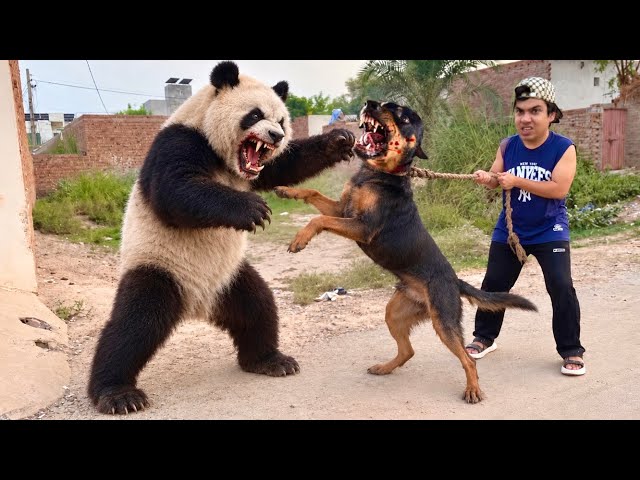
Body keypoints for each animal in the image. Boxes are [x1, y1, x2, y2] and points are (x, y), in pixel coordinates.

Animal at [88, 61, 355, 414]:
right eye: (255, 115)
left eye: (281, 121)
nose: (277, 135)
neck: (224, 157)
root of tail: (196, 305)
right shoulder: (181, 140)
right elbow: (175, 189)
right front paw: (253, 210)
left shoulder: (258, 170)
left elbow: (285, 165)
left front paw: (339, 139)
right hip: (159, 267)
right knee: (134, 324)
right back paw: (117, 393)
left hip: (230, 279)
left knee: (258, 307)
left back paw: (269, 360)